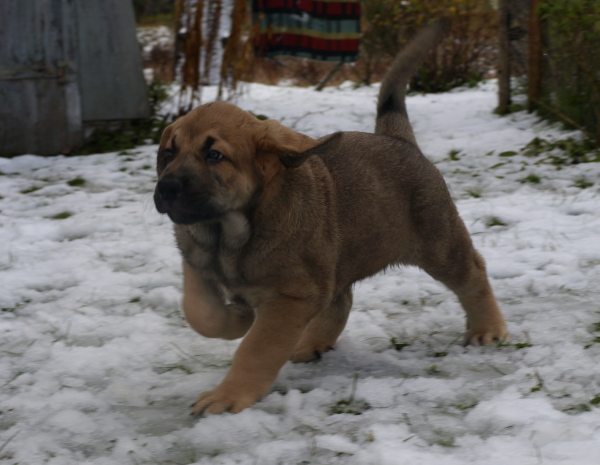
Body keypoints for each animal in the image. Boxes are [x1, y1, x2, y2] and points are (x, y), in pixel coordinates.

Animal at [154, 22, 506, 414]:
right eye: (168, 153)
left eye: (214, 155)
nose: (166, 187)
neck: (228, 235)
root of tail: (397, 138)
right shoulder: (197, 264)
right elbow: (200, 313)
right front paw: (238, 320)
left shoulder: (292, 298)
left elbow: (256, 349)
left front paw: (229, 395)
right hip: (335, 258)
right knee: (341, 300)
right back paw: (312, 342)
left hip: (438, 243)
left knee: (473, 274)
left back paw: (487, 328)